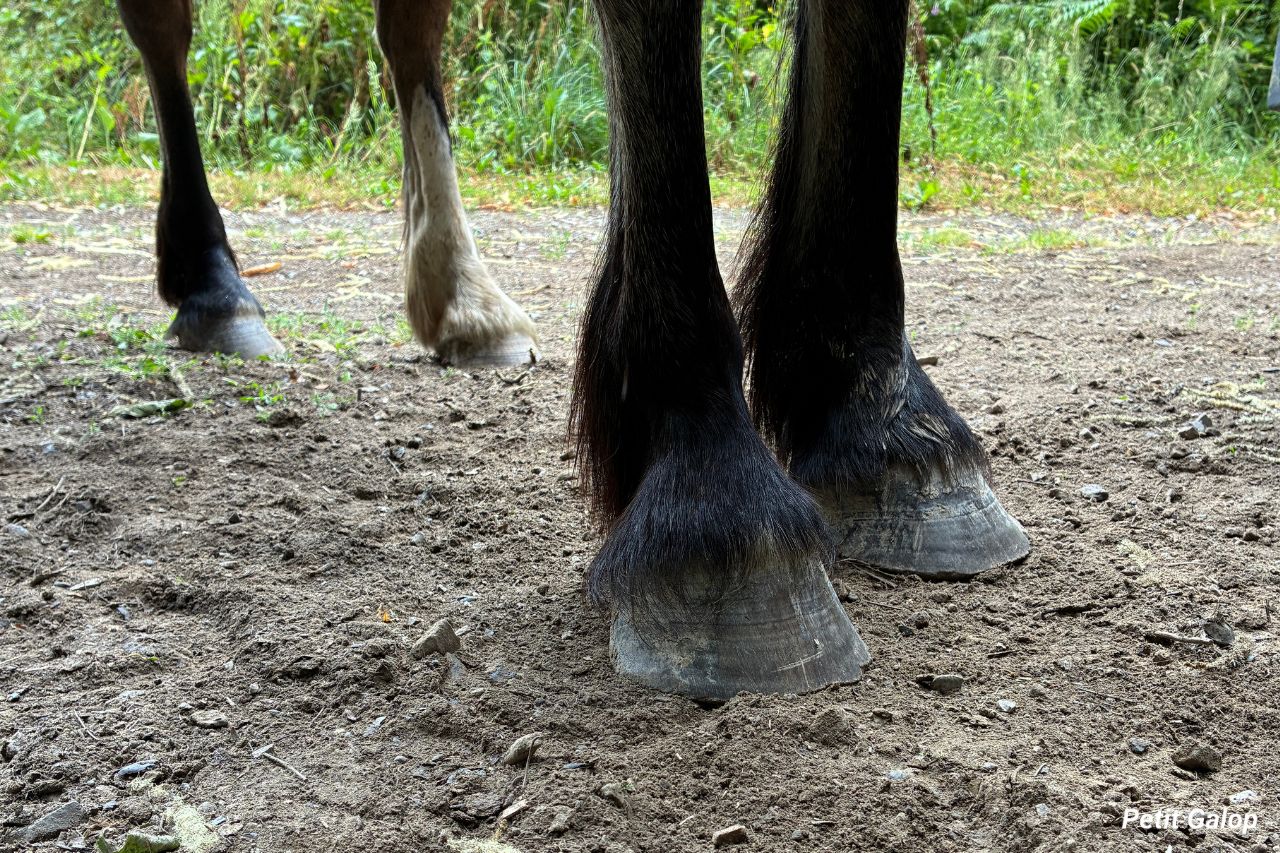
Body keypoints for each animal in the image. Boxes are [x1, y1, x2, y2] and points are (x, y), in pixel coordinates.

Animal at [117, 0, 1030, 702]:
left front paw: (887, 424)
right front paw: (717, 509)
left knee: (407, 28)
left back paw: (461, 298)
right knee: (164, 25)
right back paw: (214, 286)